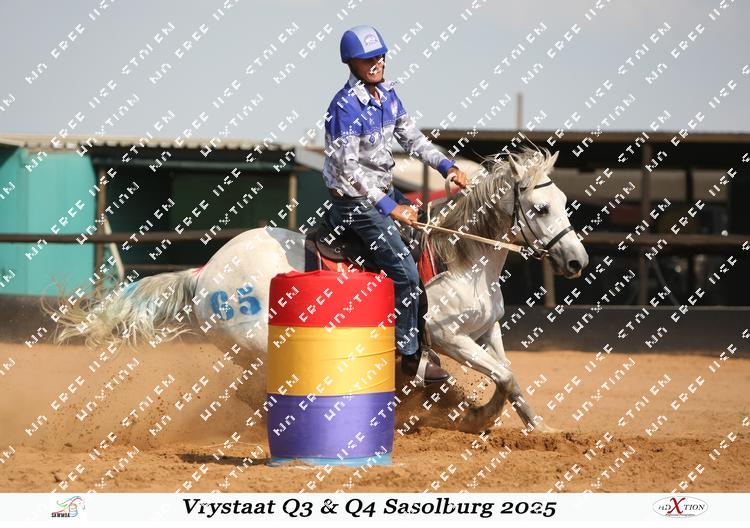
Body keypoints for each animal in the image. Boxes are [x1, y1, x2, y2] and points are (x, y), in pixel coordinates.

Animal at [55, 146, 588, 434]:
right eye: (540, 208)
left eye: (564, 201)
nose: (577, 261)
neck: (461, 263)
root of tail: (205, 273)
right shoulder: (445, 335)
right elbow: (499, 374)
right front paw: (474, 413)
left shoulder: (485, 331)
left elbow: (510, 377)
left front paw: (537, 426)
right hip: (258, 343)